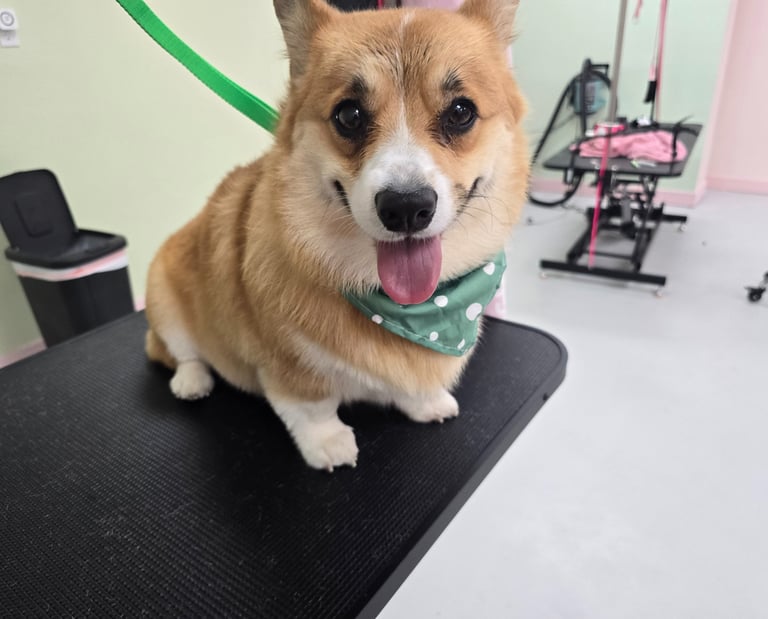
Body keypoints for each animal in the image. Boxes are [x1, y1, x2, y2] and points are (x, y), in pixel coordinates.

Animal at [144, 0, 529, 470]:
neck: (413, 308)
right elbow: (312, 407)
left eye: (460, 112)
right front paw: (328, 443)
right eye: (349, 115)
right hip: (163, 293)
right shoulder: (288, 366)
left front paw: (426, 402)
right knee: (182, 352)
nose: (405, 208)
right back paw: (192, 381)